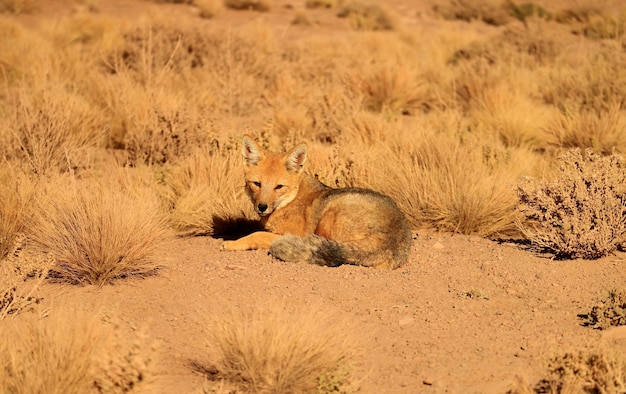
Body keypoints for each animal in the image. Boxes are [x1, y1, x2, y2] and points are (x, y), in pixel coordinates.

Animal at [221, 134, 414, 270]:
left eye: (279, 187)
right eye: (257, 184)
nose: (262, 207)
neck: (292, 199)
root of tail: (395, 236)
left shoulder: (291, 233)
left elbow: (256, 234)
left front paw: (232, 243)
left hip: (330, 214)